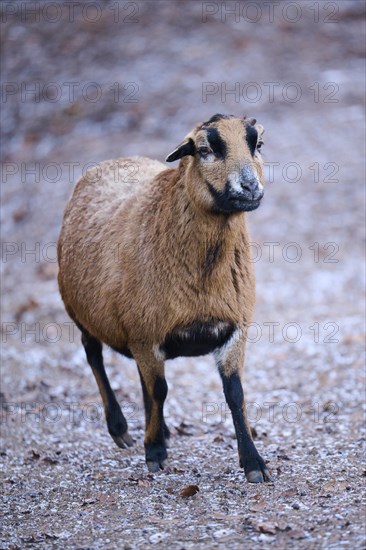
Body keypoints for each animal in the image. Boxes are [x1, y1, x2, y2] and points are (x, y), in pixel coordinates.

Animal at [58, 114, 272, 486]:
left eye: (256, 144)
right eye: (204, 150)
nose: (250, 187)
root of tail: (114, 161)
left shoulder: (234, 329)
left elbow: (235, 394)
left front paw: (253, 463)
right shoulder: (146, 334)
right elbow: (160, 389)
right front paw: (155, 453)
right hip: (81, 311)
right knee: (94, 355)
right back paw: (122, 429)